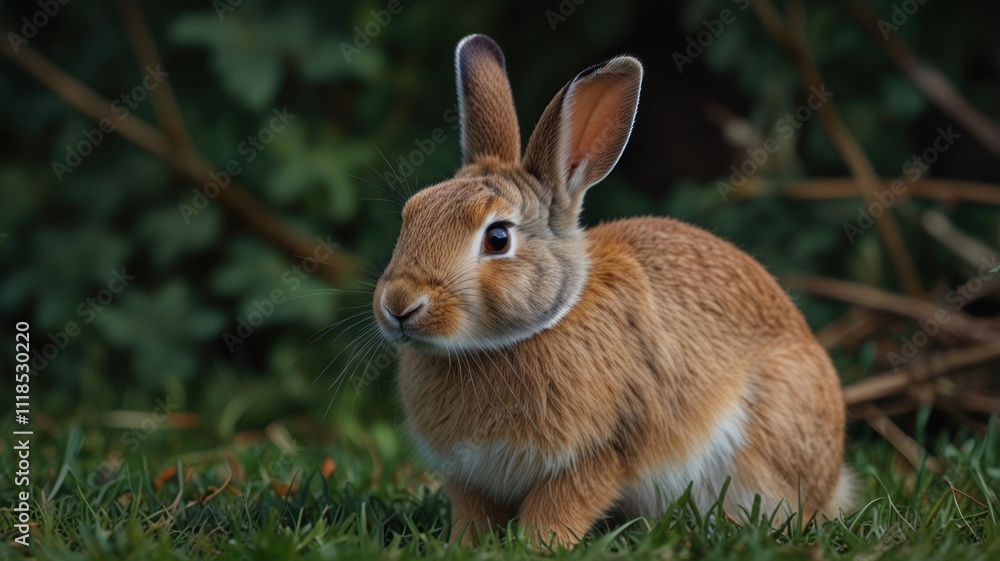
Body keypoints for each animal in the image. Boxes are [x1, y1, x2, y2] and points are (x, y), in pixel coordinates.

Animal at [372, 34, 854, 548]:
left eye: (498, 238)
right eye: (411, 214)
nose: (399, 305)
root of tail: (832, 480)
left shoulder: (599, 455)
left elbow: (559, 508)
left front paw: (538, 547)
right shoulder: (471, 478)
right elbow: (474, 516)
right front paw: (466, 546)